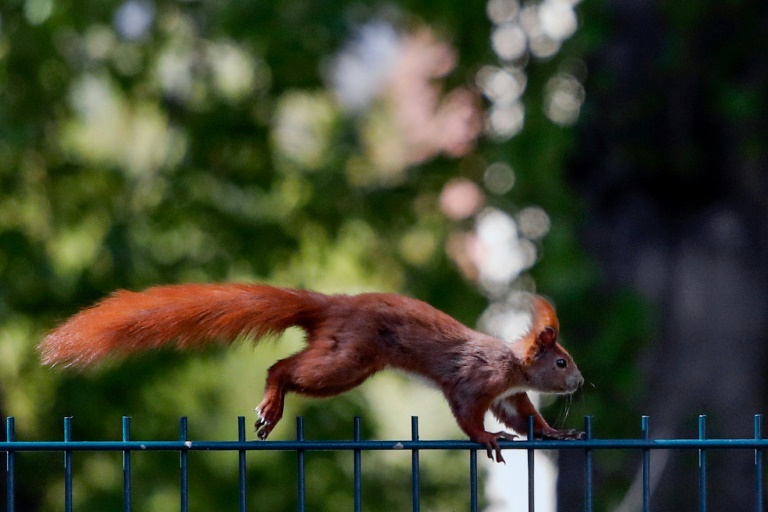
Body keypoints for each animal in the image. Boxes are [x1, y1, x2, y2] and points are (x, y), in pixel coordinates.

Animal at [39, 282, 584, 462]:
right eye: (561, 361)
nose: (579, 382)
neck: (511, 364)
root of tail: (333, 305)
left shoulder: (509, 394)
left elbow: (525, 417)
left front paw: (557, 432)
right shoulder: (474, 379)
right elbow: (469, 414)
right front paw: (487, 439)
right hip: (346, 361)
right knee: (283, 367)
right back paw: (271, 402)